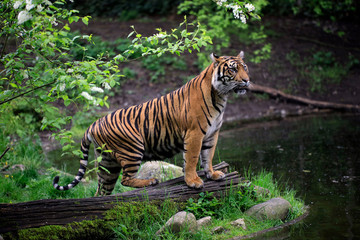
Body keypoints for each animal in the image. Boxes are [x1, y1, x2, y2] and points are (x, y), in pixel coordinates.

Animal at [54, 51, 250, 195]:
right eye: (232, 70)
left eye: (245, 68)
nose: (247, 80)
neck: (220, 95)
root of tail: (93, 125)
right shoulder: (194, 134)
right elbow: (192, 159)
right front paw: (193, 181)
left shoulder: (212, 134)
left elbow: (208, 156)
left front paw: (212, 174)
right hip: (132, 148)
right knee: (126, 179)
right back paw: (151, 181)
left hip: (107, 162)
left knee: (102, 190)